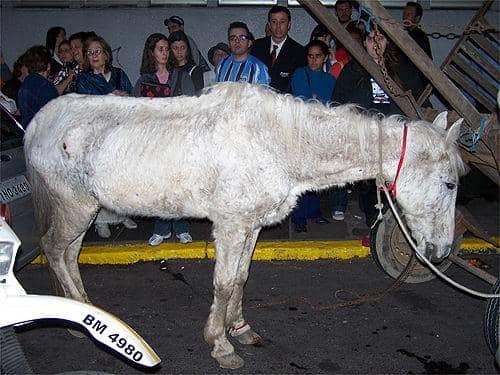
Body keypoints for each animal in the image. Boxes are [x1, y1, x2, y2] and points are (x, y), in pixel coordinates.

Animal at [24, 83, 464, 370]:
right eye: (450, 184)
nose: (442, 251)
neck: (277, 142)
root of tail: (38, 124)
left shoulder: (250, 225)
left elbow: (240, 277)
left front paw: (239, 328)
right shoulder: (232, 226)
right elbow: (222, 283)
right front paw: (220, 346)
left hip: (80, 210)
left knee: (68, 253)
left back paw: (84, 312)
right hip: (75, 207)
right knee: (55, 249)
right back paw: (83, 322)